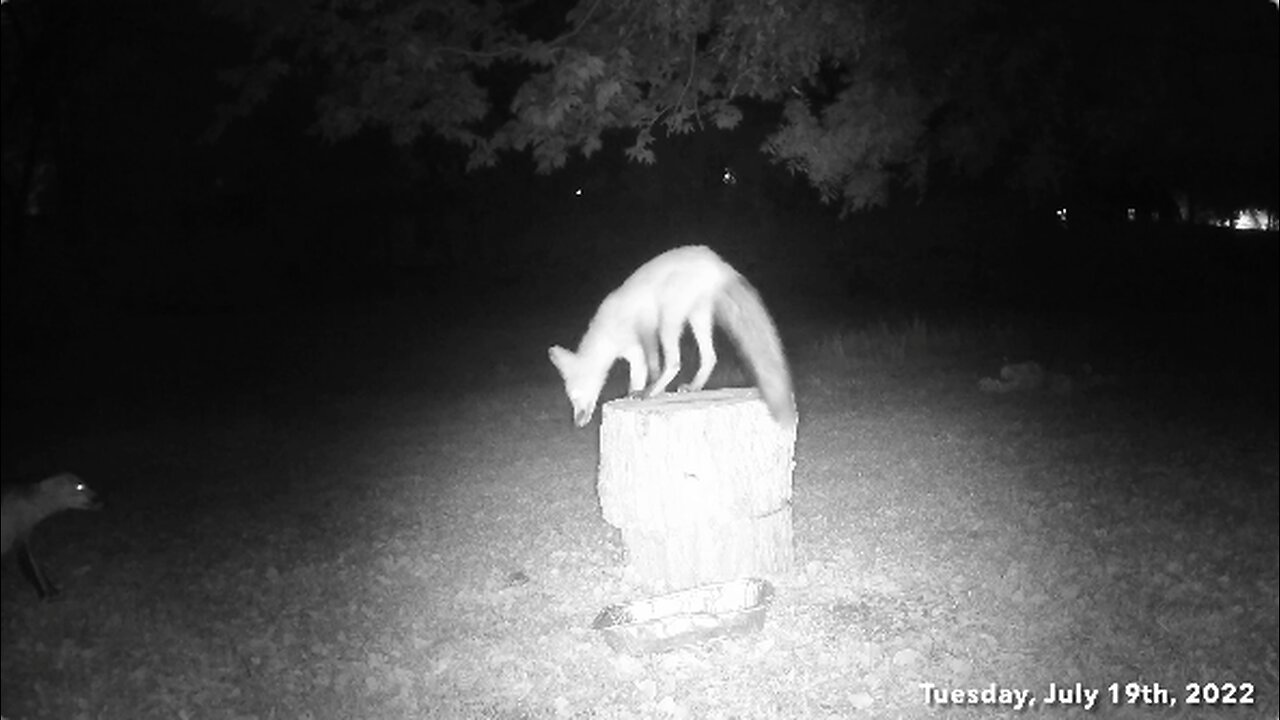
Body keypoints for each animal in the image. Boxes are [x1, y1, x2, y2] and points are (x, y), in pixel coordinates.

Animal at [1, 471, 101, 599]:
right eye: (80, 486)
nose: (98, 499)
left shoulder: (23, 536)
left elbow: (35, 565)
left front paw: (51, 591)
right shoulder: (20, 537)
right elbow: (31, 566)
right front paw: (48, 593)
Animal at [547, 243, 793, 427]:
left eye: (575, 396)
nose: (577, 423)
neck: (609, 332)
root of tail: (717, 262)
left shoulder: (645, 330)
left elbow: (651, 367)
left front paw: (648, 391)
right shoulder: (634, 349)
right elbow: (640, 374)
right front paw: (639, 392)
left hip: (669, 320)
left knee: (674, 362)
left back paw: (652, 391)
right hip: (698, 317)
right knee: (710, 356)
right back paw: (693, 387)